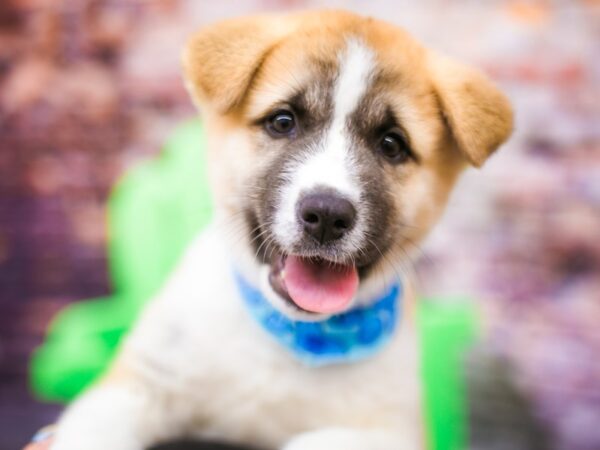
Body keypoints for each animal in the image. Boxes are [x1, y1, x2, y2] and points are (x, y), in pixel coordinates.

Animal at [49, 10, 512, 450]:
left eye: (391, 144)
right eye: (283, 121)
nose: (326, 214)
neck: (290, 335)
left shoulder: (397, 432)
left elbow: (316, 441)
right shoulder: (138, 383)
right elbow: (88, 431)